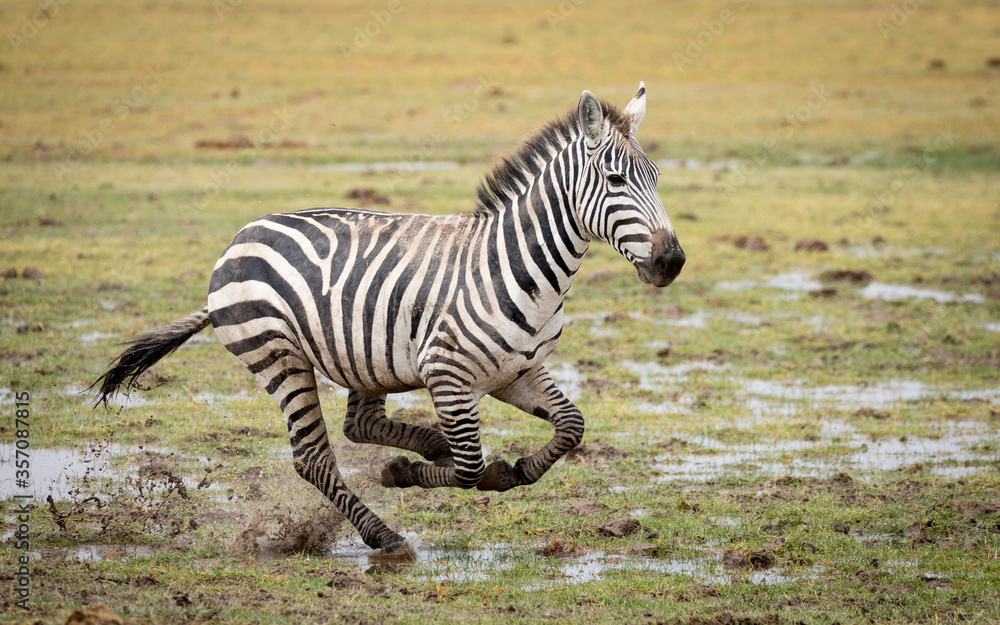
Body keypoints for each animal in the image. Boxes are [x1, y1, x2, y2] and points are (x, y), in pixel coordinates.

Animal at [92, 82, 685, 553]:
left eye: (656, 177)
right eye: (614, 180)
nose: (672, 261)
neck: (521, 270)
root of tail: (243, 234)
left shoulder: (515, 372)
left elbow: (571, 427)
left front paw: (515, 470)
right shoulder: (449, 375)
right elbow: (470, 467)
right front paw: (413, 474)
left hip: (365, 355)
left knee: (360, 425)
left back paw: (422, 451)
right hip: (279, 356)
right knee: (314, 458)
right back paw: (384, 534)